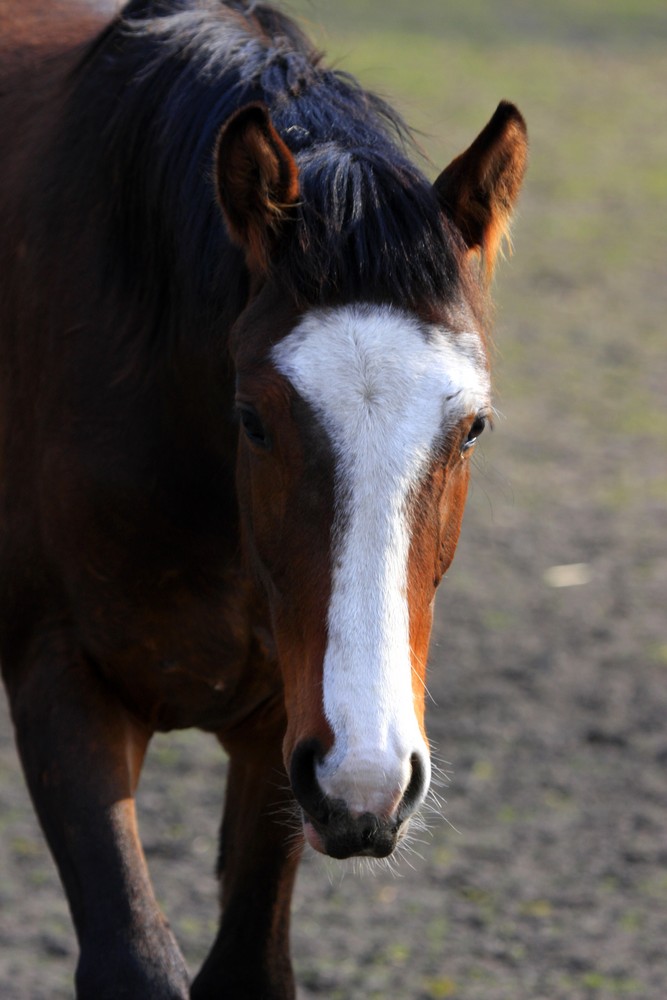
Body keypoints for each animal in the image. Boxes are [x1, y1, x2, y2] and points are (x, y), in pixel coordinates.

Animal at [0, 0, 528, 996]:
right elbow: (134, 958)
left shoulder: (287, 732)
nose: (370, 780)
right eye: (251, 417)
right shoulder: (59, 676)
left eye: (472, 426)